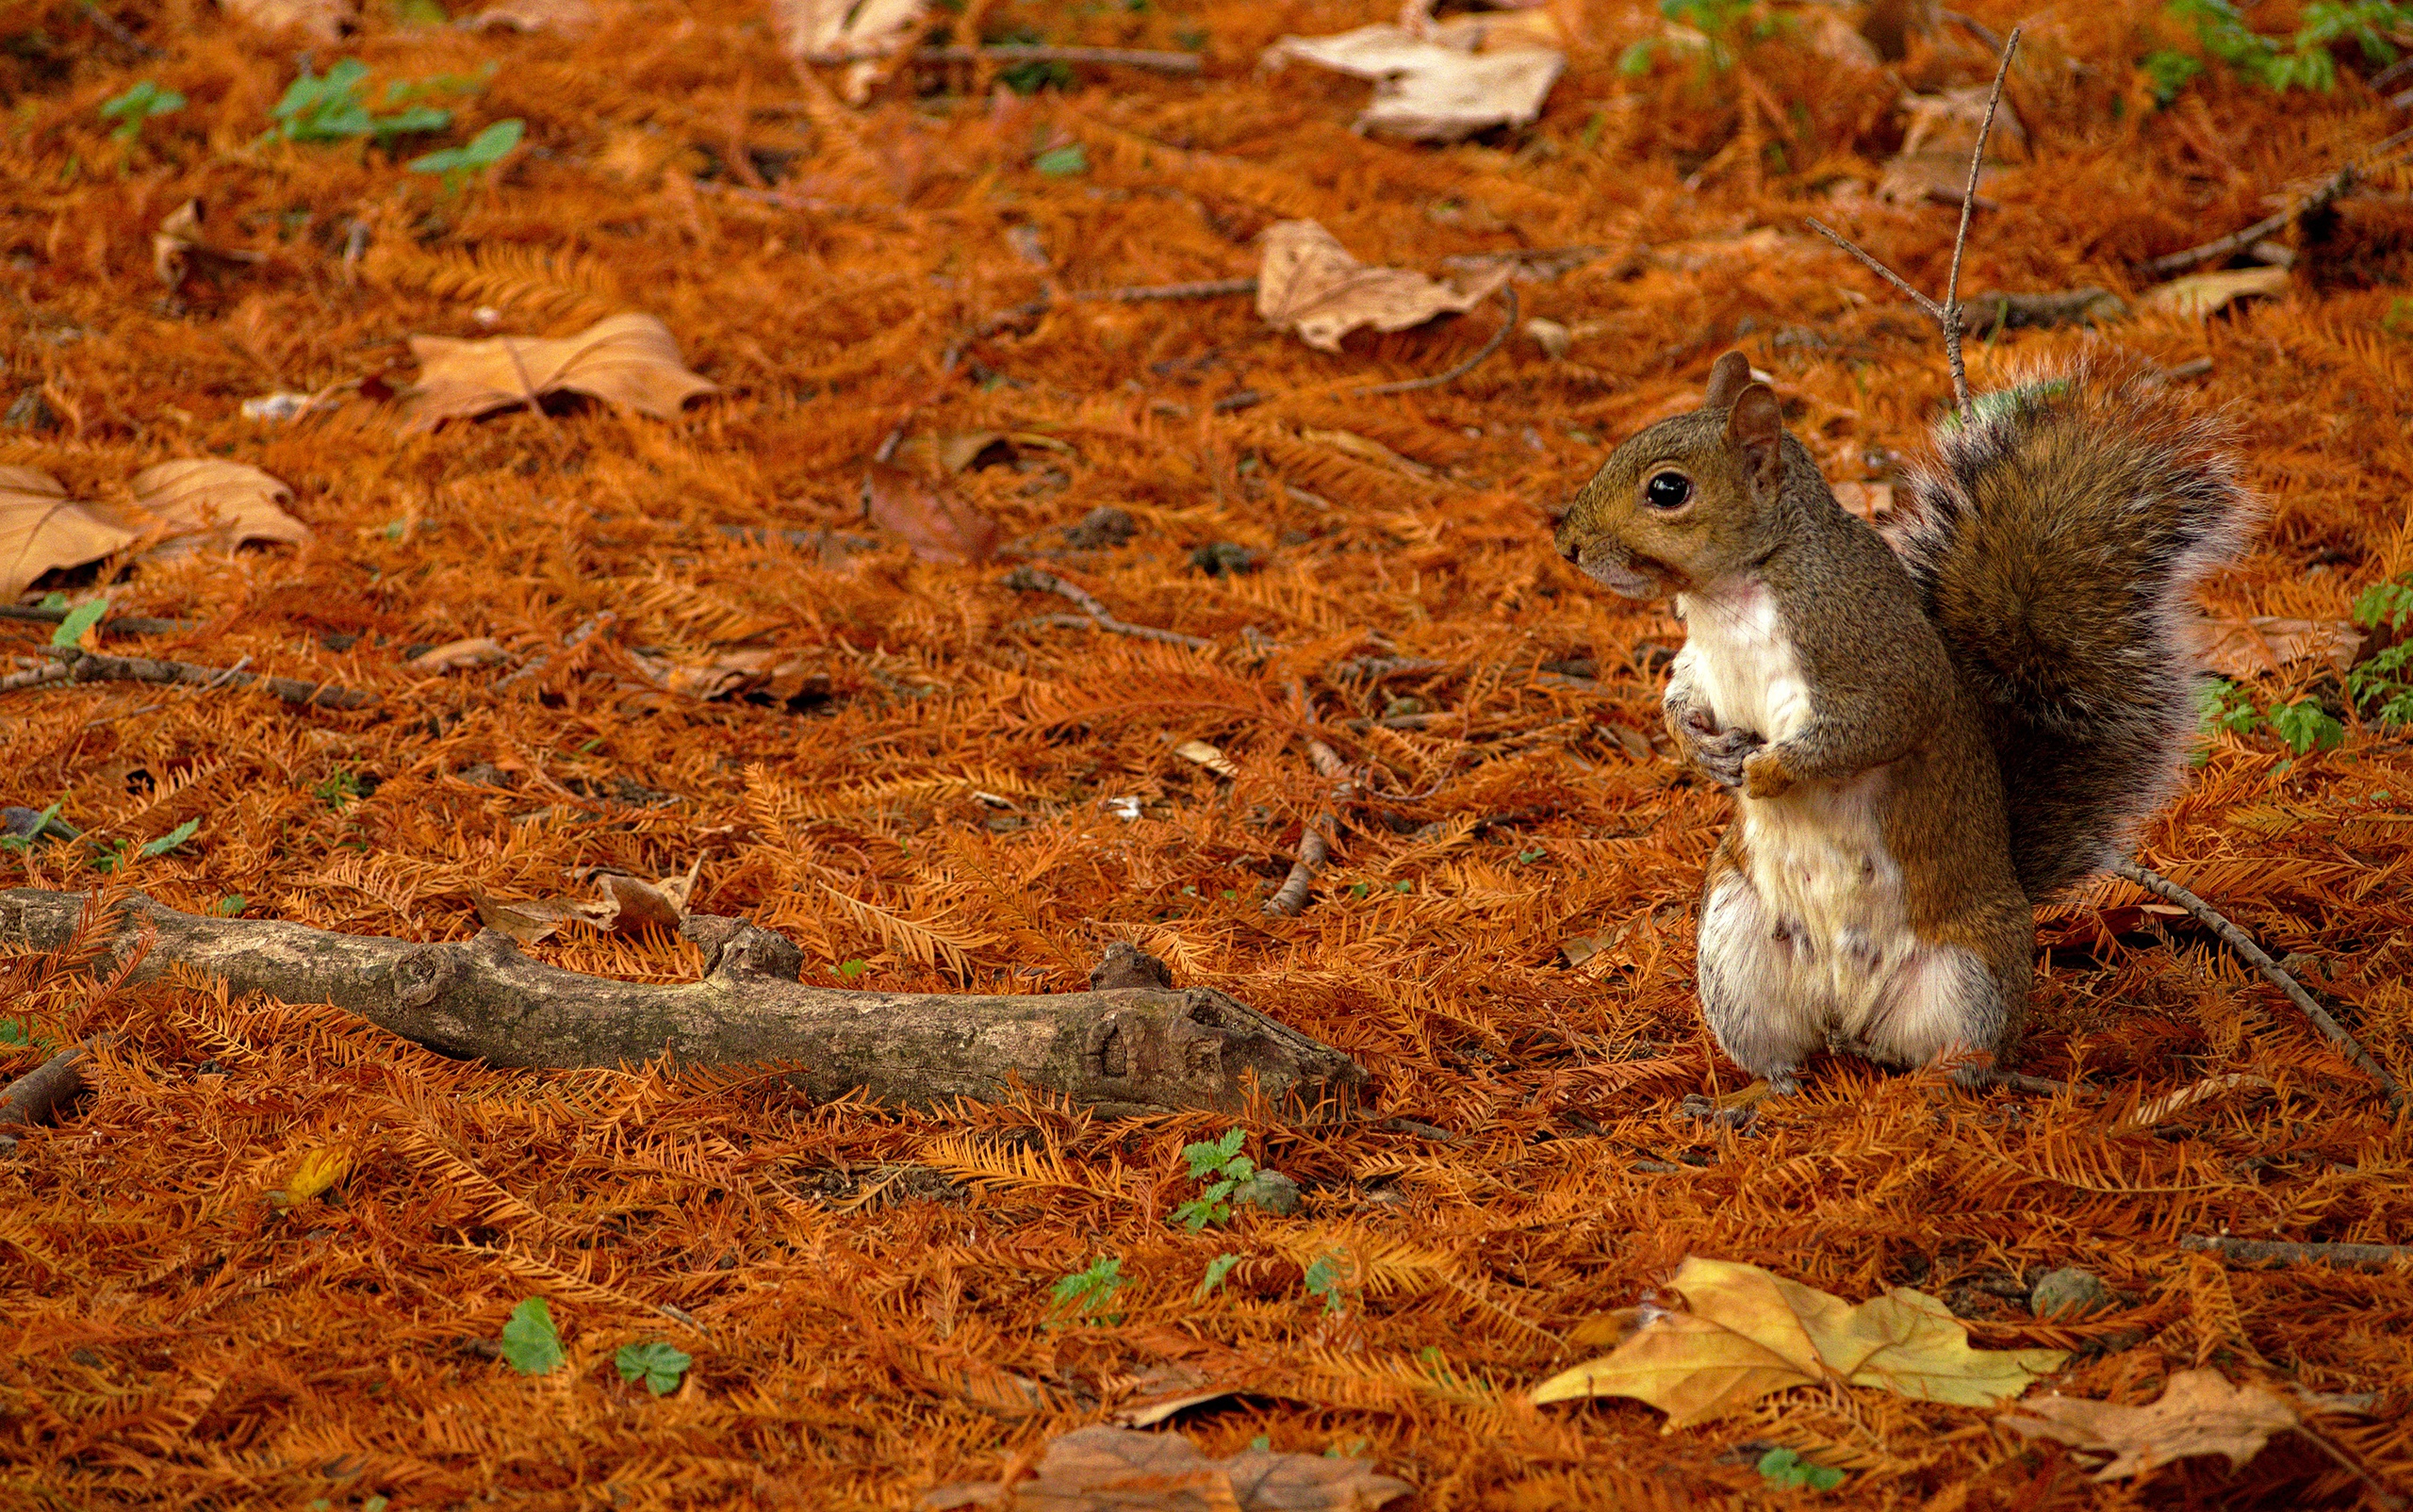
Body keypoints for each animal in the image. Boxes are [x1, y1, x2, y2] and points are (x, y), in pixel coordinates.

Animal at [1553, 351, 2253, 1091]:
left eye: (1668, 489)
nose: (1568, 544)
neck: (1727, 595)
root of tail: (1849, 1018)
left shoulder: (1870, 651)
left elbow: (1874, 726)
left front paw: (1768, 771)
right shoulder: (1702, 661)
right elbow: (1680, 695)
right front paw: (1701, 750)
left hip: (1969, 976)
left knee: (1959, 1058)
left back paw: (1944, 1089)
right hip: (1733, 948)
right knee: (1776, 1049)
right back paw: (1761, 1094)